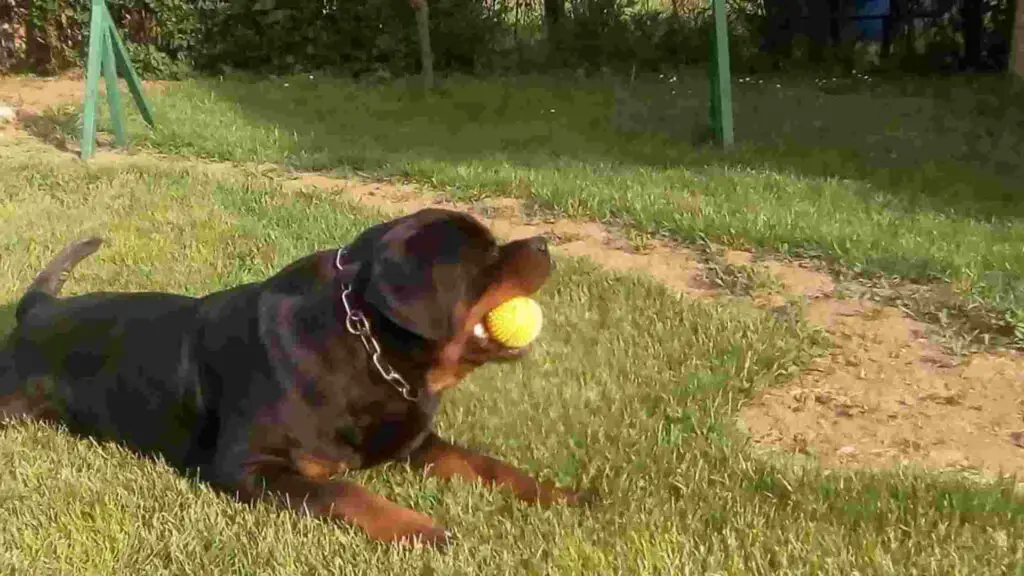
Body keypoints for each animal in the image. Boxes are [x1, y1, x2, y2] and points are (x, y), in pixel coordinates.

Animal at [0, 206, 589, 541]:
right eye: (483, 257)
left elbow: (486, 464)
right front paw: (419, 527)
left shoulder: (414, 443)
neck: (368, 352)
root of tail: (39, 311)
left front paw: (559, 495)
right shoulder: (247, 467)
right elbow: (343, 491)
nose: (543, 243)